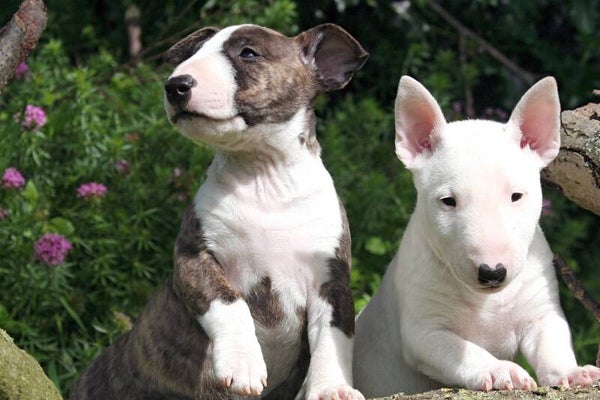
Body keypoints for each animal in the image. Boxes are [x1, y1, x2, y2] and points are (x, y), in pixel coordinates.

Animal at [70, 24, 370, 400]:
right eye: (191, 54)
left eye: (248, 53)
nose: (176, 85)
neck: (264, 176)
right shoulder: (194, 258)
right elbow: (229, 303)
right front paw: (243, 365)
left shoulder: (332, 279)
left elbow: (334, 336)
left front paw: (333, 389)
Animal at [354, 75, 596, 396]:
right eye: (448, 201)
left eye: (516, 196)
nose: (492, 272)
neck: (488, 302)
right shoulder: (424, 332)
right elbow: (467, 351)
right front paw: (502, 371)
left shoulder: (541, 311)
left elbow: (552, 342)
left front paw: (573, 372)